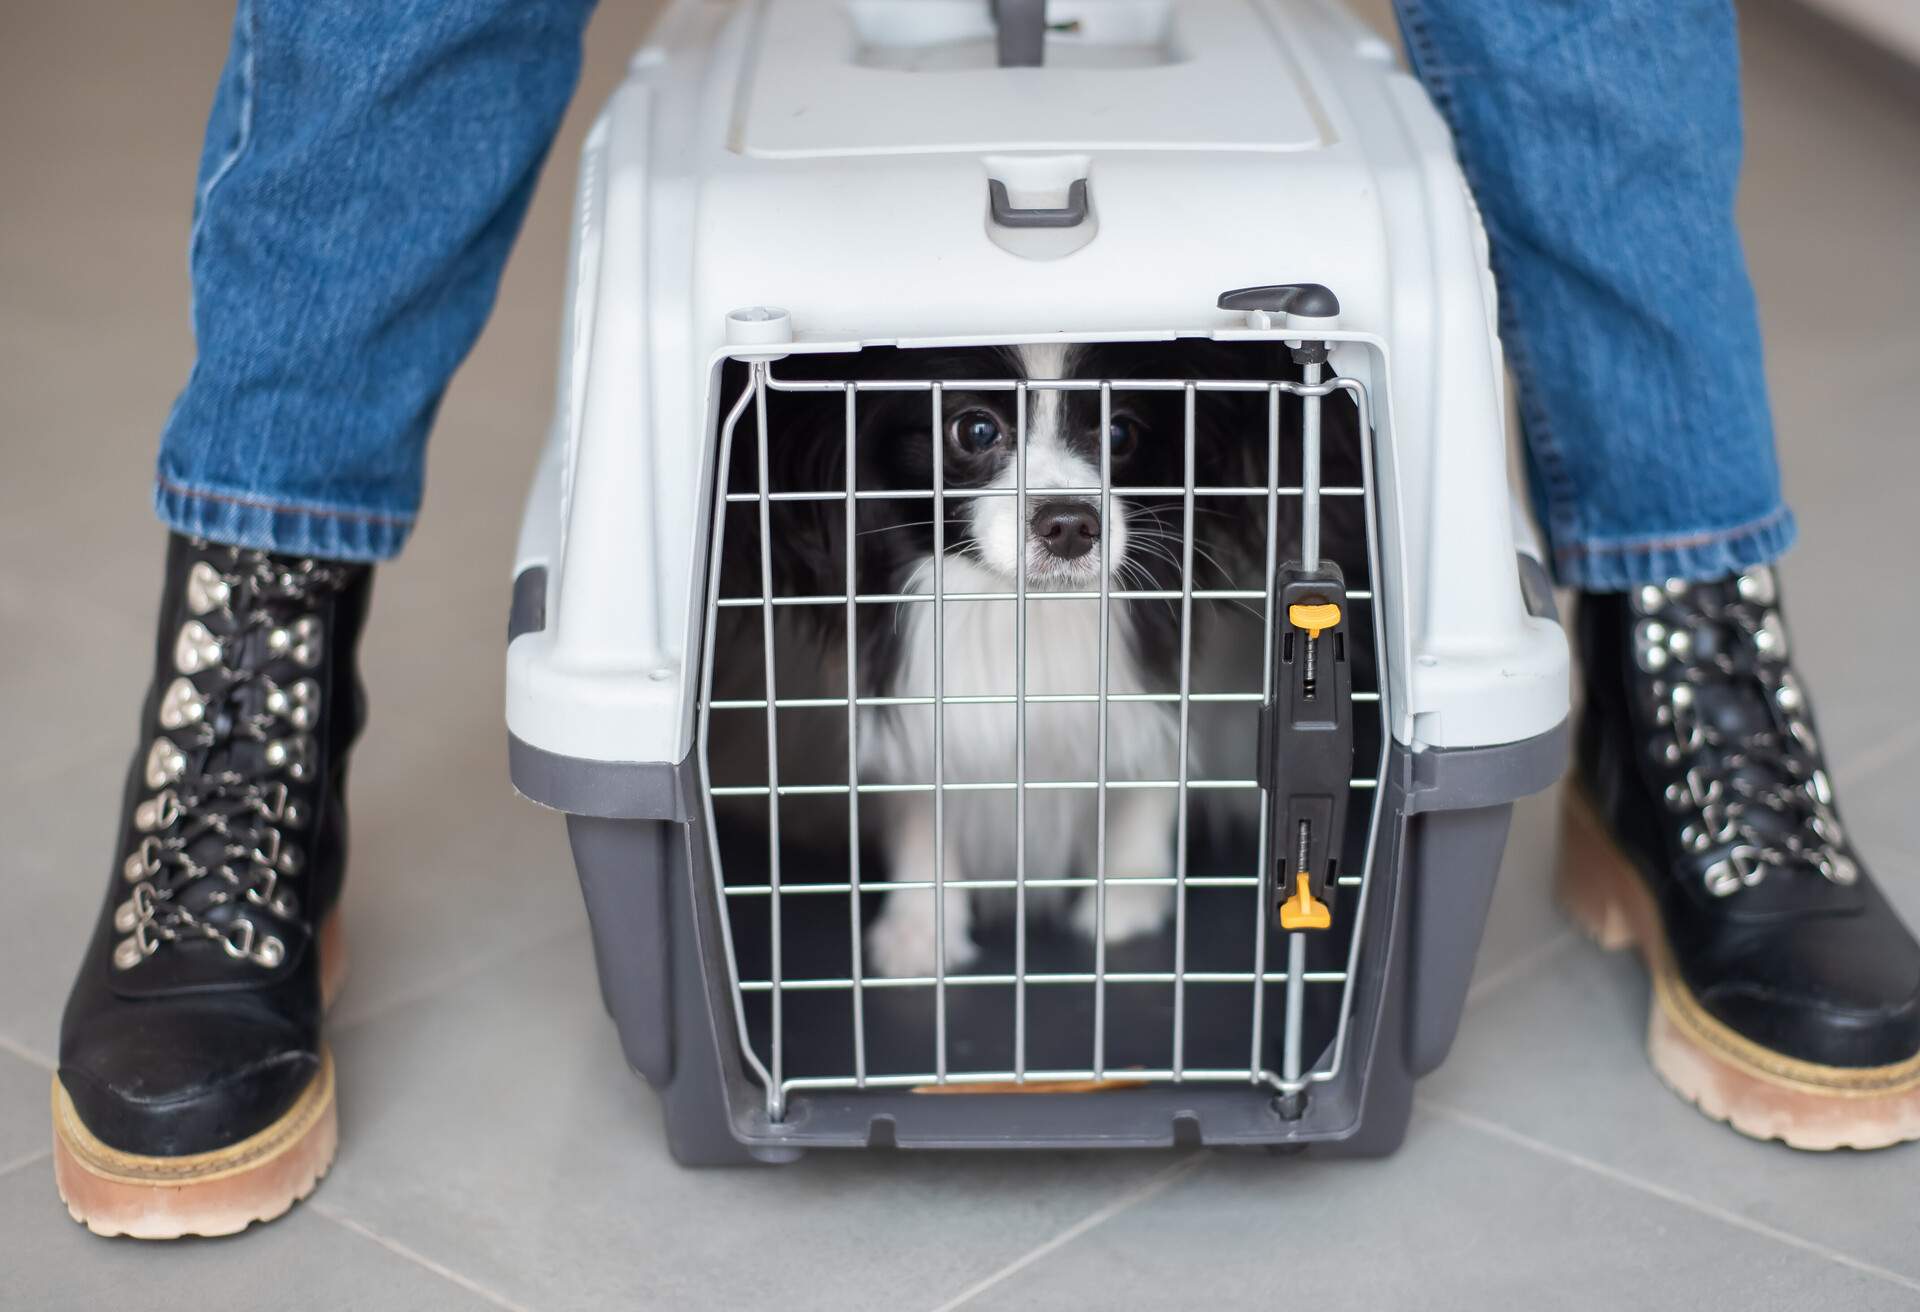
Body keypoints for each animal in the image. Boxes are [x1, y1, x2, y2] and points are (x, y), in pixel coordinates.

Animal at [721, 343, 1336, 979]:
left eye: (1119, 432)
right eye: (975, 429)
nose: (1068, 525)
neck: (1026, 615)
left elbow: (1154, 766)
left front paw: (1126, 895)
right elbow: (922, 800)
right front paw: (921, 927)